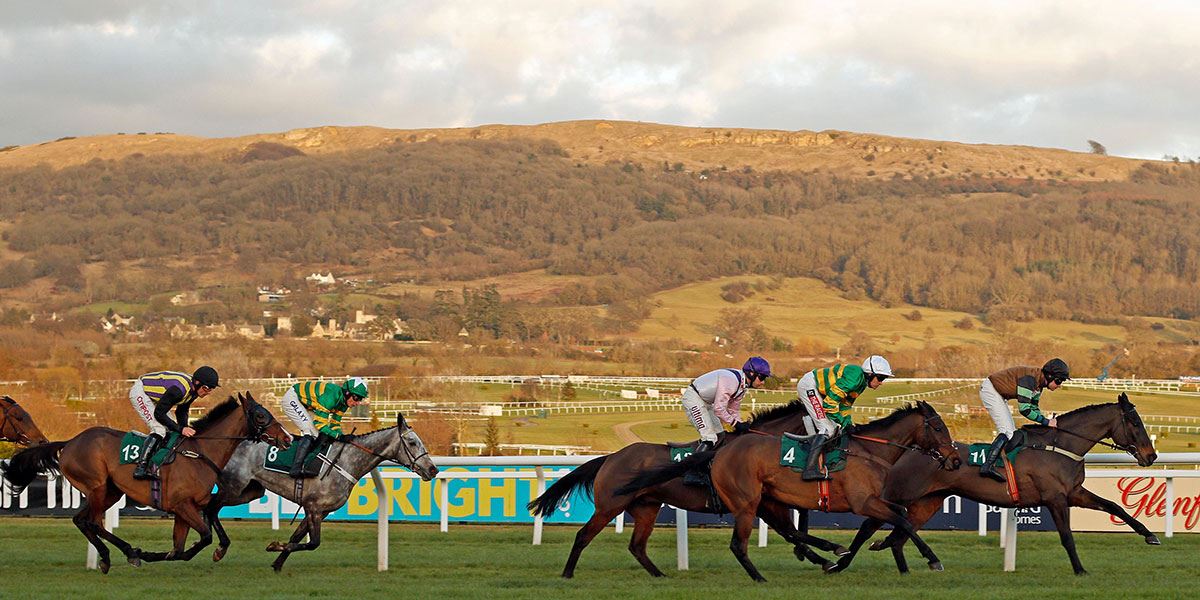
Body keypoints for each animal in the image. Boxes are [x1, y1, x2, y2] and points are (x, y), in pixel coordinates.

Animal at [2, 391, 291, 573]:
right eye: (261, 416)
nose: (287, 438)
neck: (200, 452)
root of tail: (70, 441)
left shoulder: (187, 509)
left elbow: (183, 545)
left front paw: (160, 554)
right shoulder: (182, 505)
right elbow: (203, 538)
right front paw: (149, 554)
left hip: (111, 491)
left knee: (84, 521)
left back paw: (119, 554)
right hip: (97, 487)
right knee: (91, 521)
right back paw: (122, 554)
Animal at [206, 412, 441, 571]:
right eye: (412, 442)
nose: (433, 469)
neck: (345, 462)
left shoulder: (319, 510)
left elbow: (297, 537)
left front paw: (277, 563)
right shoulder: (315, 508)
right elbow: (313, 543)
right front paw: (274, 546)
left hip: (250, 491)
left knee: (210, 505)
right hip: (234, 486)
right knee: (211, 507)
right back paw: (216, 546)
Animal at [525, 400, 854, 578]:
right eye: (819, 423)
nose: (839, 437)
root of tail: (611, 457)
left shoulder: (763, 504)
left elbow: (794, 531)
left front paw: (823, 557)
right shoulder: (756, 504)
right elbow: (793, 531)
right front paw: (827, 554)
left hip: (646, 507)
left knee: (637, 546)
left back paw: (659, 575)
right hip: (609, 506)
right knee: (583, 535)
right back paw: (567, 573)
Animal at [619, 403, 964, 580]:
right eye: (938, 427)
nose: (956, 459)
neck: (868, 450)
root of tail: (720, 453)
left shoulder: (872, 502)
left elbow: (895, 519)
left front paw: (846, 557)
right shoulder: (864, 502)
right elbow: (903, 520)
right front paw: (931, 559)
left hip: (766, 501)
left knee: (785, 532)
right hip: (749, 503)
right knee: (741, 543)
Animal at [849, 391, 1156, 573]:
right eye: (1136, 423)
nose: (1151, 456)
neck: (1059, 445)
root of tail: (909, 449)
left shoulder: (1074, 493)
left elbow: (1114, 506)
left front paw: (1149, 535)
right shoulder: (1056, 499)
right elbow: (1067, 537)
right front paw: (1080, 570)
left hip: (928, 503)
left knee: (899, 536)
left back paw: (905, 567)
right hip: (898, 495)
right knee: (872, 527)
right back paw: (845, 560)